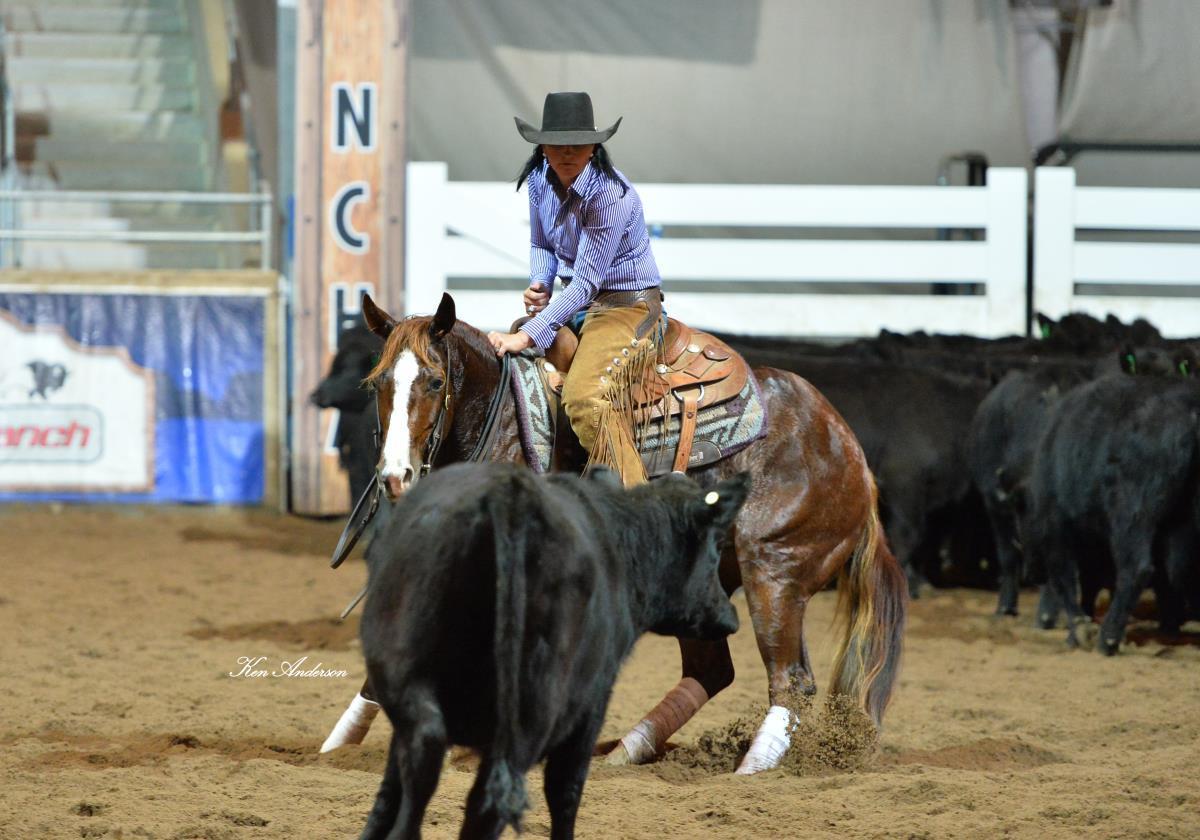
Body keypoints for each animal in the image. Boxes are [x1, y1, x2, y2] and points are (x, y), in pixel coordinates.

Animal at [329, 290, 906, 775]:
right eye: (378, 384)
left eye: (434, 381)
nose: (395, 477)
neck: (505, 425)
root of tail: (850, 452)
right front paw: (340, 742)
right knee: (713, 670)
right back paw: (626, 750)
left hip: (774, 573)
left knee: (792, 679)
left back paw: (752, 768)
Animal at [357, 462, 749, 839]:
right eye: (716, 548)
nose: (731, 617)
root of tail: (509, 497)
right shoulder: (592, 706)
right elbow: (566, 792)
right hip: (532, 713)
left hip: (408, 687)